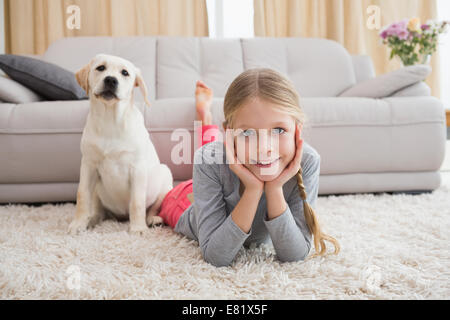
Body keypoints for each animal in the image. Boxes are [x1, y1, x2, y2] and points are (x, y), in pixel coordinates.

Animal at [69, 54, 174, 235]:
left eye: (125, 72)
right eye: (100, 68)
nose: (111, 80)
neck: (110, 120)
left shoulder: (137, 168)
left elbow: (137, 202)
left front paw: (138, 228)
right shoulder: (88, 165)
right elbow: (82, 196)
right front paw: (78, 223)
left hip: (164, 176)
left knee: (152, 207)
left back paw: (152, 220)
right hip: (97, 191)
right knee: (99, 210)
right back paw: (92, 220)